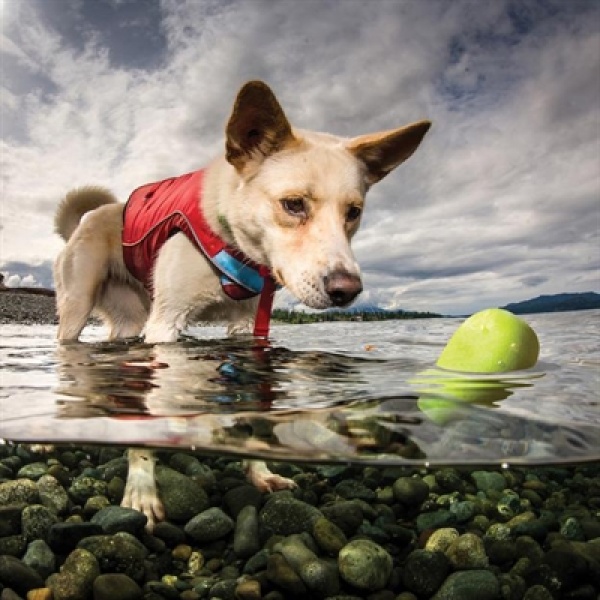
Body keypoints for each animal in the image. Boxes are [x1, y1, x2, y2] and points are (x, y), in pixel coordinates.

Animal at [54, 81, 428, 528]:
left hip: (129, 317)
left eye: (353, 213)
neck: (231, 240)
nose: (347, 290)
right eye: (293, 204)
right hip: (78, 306)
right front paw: (142, 490)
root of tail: (88, 218)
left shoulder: (247, 328)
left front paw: (260, 470)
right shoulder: (165, 325)